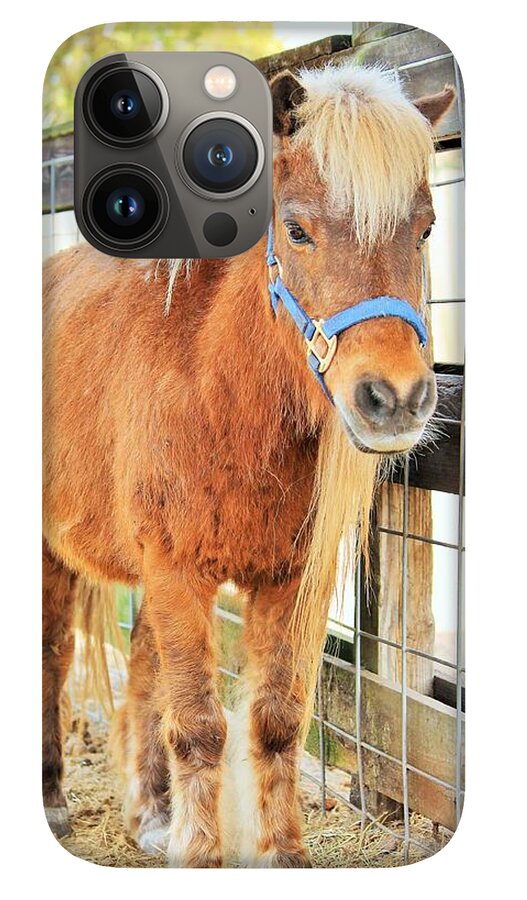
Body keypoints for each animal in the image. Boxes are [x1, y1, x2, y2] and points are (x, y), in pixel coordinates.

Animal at [42, 62, 455, 867]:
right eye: (295, 229)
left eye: (424, 229)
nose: (394, 398)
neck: (218, 388)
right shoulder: (176, 569)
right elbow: (201, 727)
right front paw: (203, 856)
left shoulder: (286, 580)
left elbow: (274, 721)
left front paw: (281, 855)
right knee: (52, 657)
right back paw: (51, 798)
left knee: (143, 671)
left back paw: (151, 813)